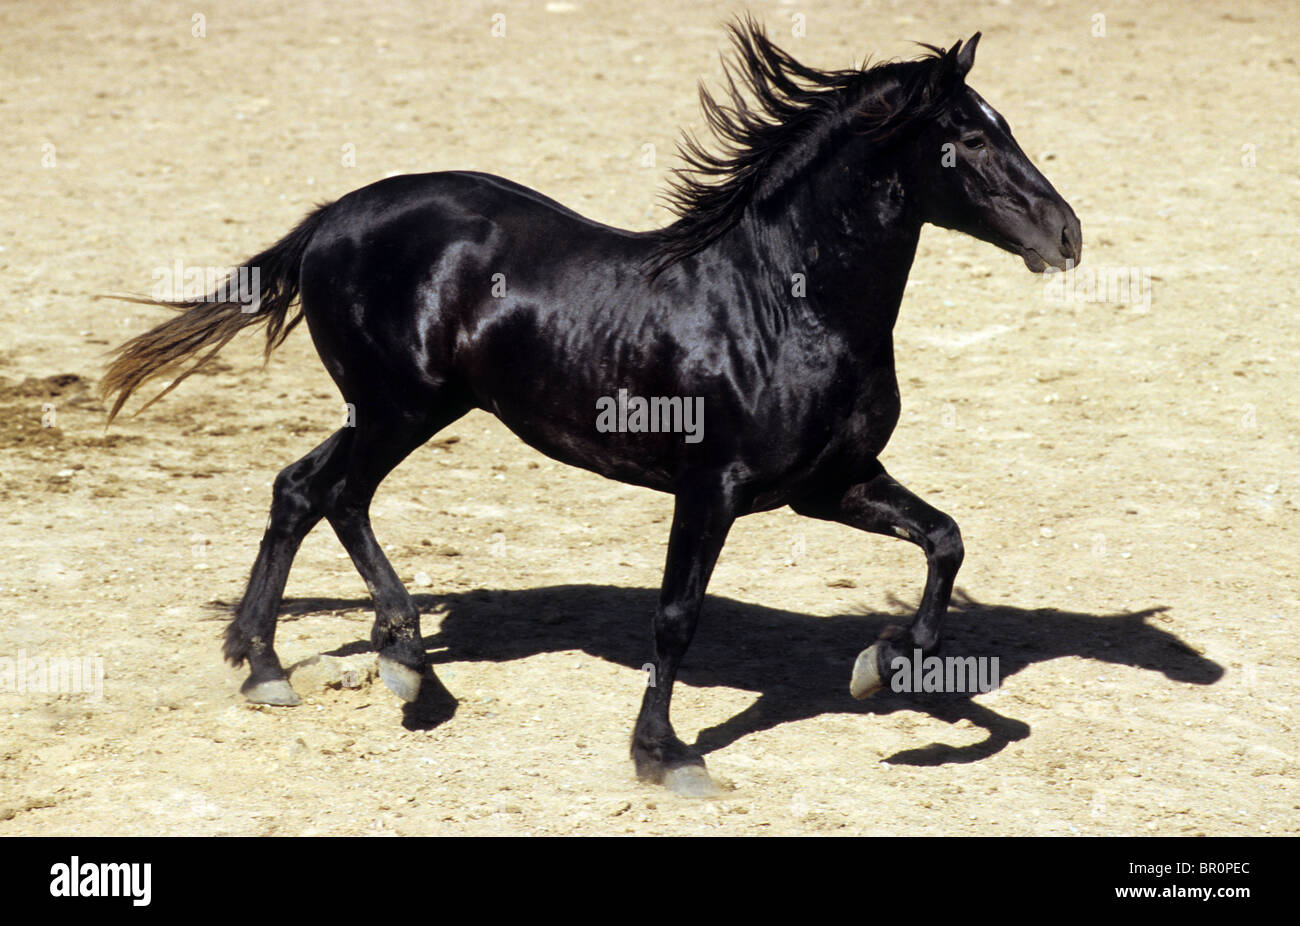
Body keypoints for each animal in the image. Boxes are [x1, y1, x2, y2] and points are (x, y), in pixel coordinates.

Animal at [98, 18, 1076, 790]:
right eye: (969, 139)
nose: (1067, 233)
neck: (783, 304)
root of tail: (333, 218)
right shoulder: (712, 489)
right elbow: (676, 618)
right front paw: (664, 757)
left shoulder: (830, 484)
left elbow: (944, 540)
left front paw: (883, 663)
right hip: (395, 408)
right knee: (329, 493)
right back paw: (393, 668)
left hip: (411, 410)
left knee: (305, 490)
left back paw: (279, 665)